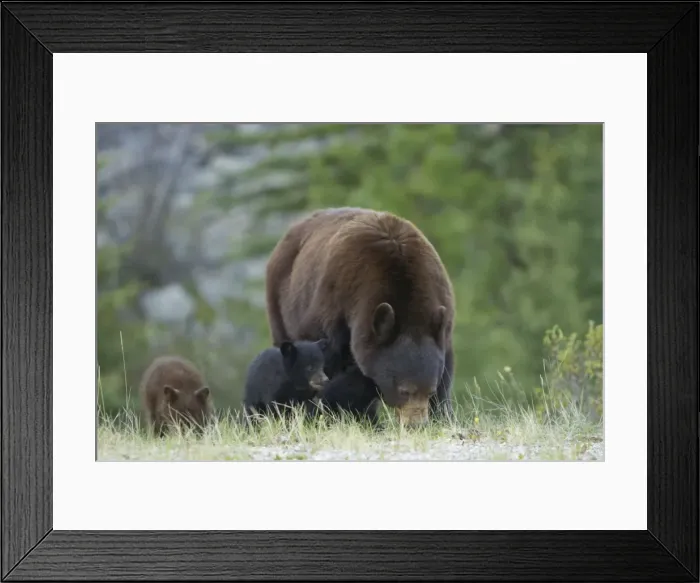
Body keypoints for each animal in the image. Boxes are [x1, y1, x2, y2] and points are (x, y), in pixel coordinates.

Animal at [265, 207, 455, 427]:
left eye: (429, 391)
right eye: (404, 391)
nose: (415, 425)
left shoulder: (441, 309)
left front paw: (442, 415)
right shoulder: (333, 306)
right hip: (281, 303)